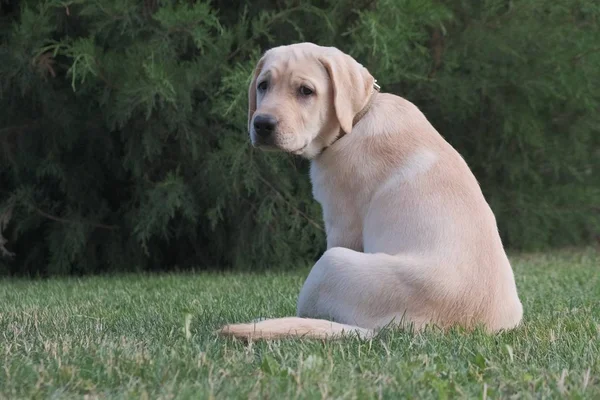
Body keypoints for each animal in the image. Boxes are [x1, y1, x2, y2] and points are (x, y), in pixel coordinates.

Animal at [218, 42, 524, 340]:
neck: (356, 120)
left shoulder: (342, 223)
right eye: (263, 85)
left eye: (306, 91)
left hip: (330, 265)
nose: (262, 124)